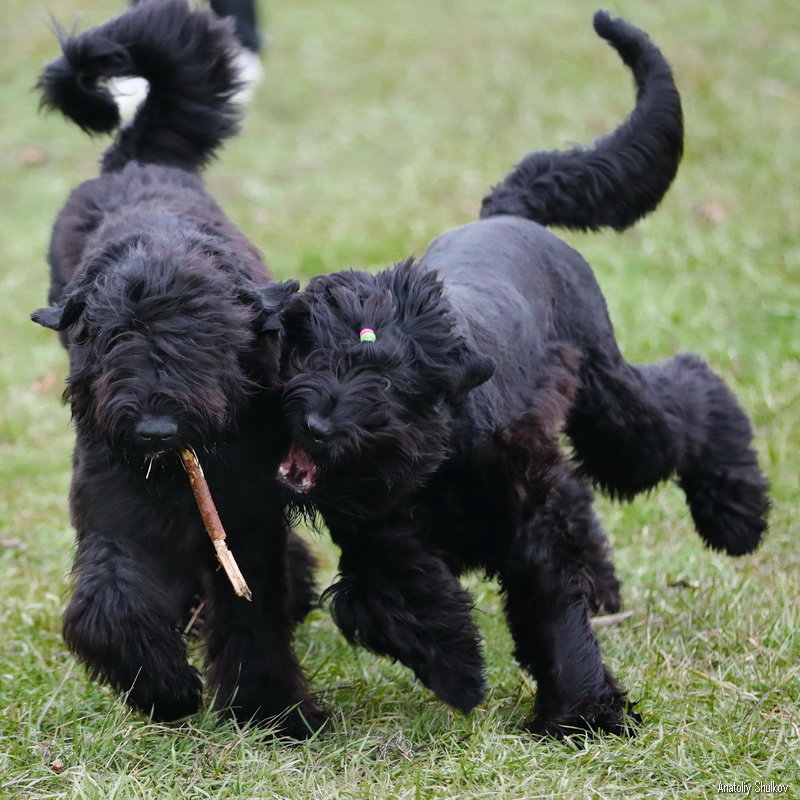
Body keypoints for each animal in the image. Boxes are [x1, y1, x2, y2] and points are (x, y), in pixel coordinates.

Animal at [31, 0, 324, 736]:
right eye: (112, 338)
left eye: (207, 336)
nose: (157, 431)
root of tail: (138, 156)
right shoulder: (116, 512)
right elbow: (109, 605)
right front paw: (164, 686)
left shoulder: (248, 517)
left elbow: (253, 614)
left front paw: (271, 710)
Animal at [276, 10, 768, 736]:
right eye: (307, 352)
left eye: (389, 379)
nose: (315, 422)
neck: (437, 453)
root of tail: (507, 212)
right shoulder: (380, 538)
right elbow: (384, 600)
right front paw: (459, 668)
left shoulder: (529, 531)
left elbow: (551, 615)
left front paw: (585, 712)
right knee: (588, 487)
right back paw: (607, 585)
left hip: (611, 404)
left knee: (688, 397)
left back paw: (737, 516)